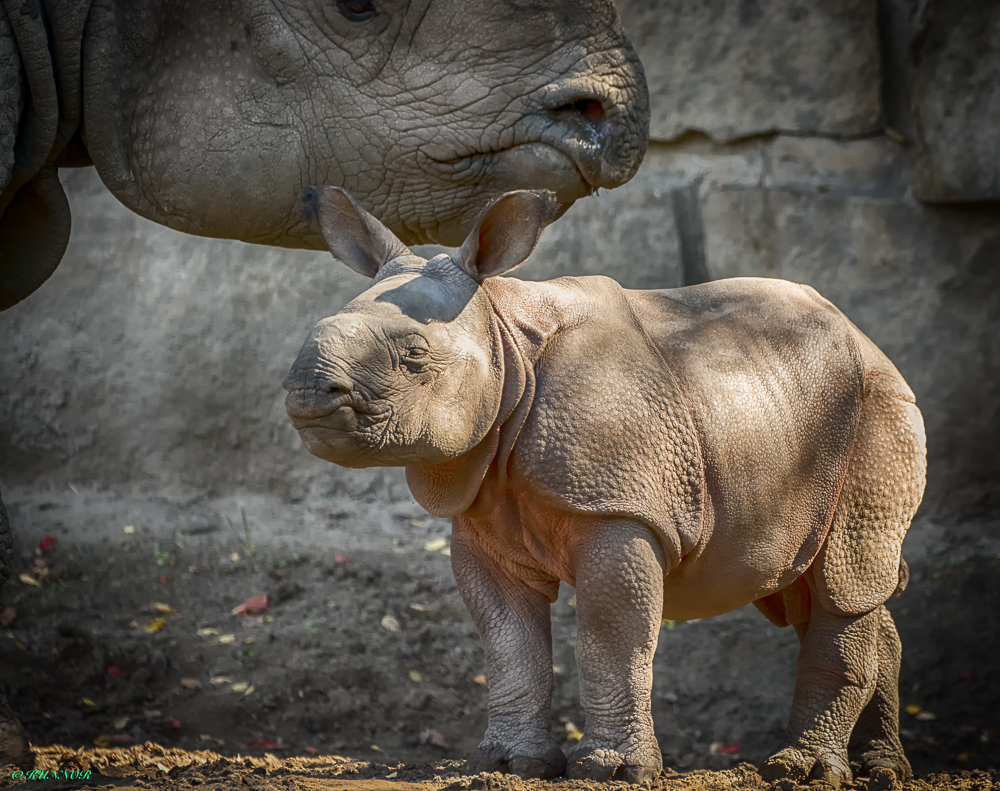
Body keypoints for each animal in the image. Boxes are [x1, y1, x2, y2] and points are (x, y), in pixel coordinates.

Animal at [282, 186, 920, 784]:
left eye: (414, 356)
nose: (308, 391)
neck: (500, 334)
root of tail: (866, 338)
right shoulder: (481, 517)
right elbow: (509, 642)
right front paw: (509, 764)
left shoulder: (620, 507)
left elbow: (613, 635)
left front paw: (612, 770)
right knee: (817, 586)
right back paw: (879, 770)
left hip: (875, 412)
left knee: (844, 581)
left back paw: (802, 771)